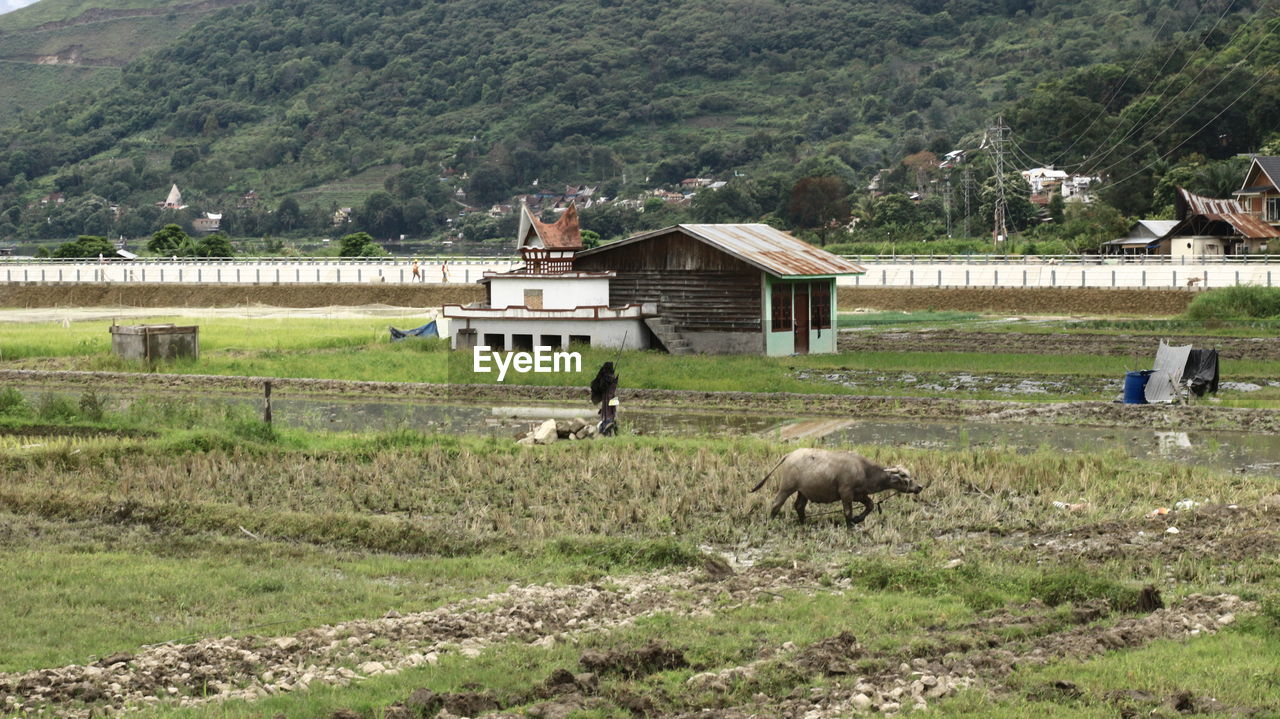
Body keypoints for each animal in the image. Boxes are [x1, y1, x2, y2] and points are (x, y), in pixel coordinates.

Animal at [747, 447, 921, 527]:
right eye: (904, 477)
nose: (919, 487)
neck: (864, 471)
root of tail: (790, 455)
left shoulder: (859, 494)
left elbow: (870, 505)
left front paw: (857, 519)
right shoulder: (846, 493)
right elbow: (847, 511)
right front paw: (851, 525)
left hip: (803, 491)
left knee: (799, 506)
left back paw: (804, 523)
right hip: (787, 487)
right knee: (776, 504)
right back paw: (771, 522)